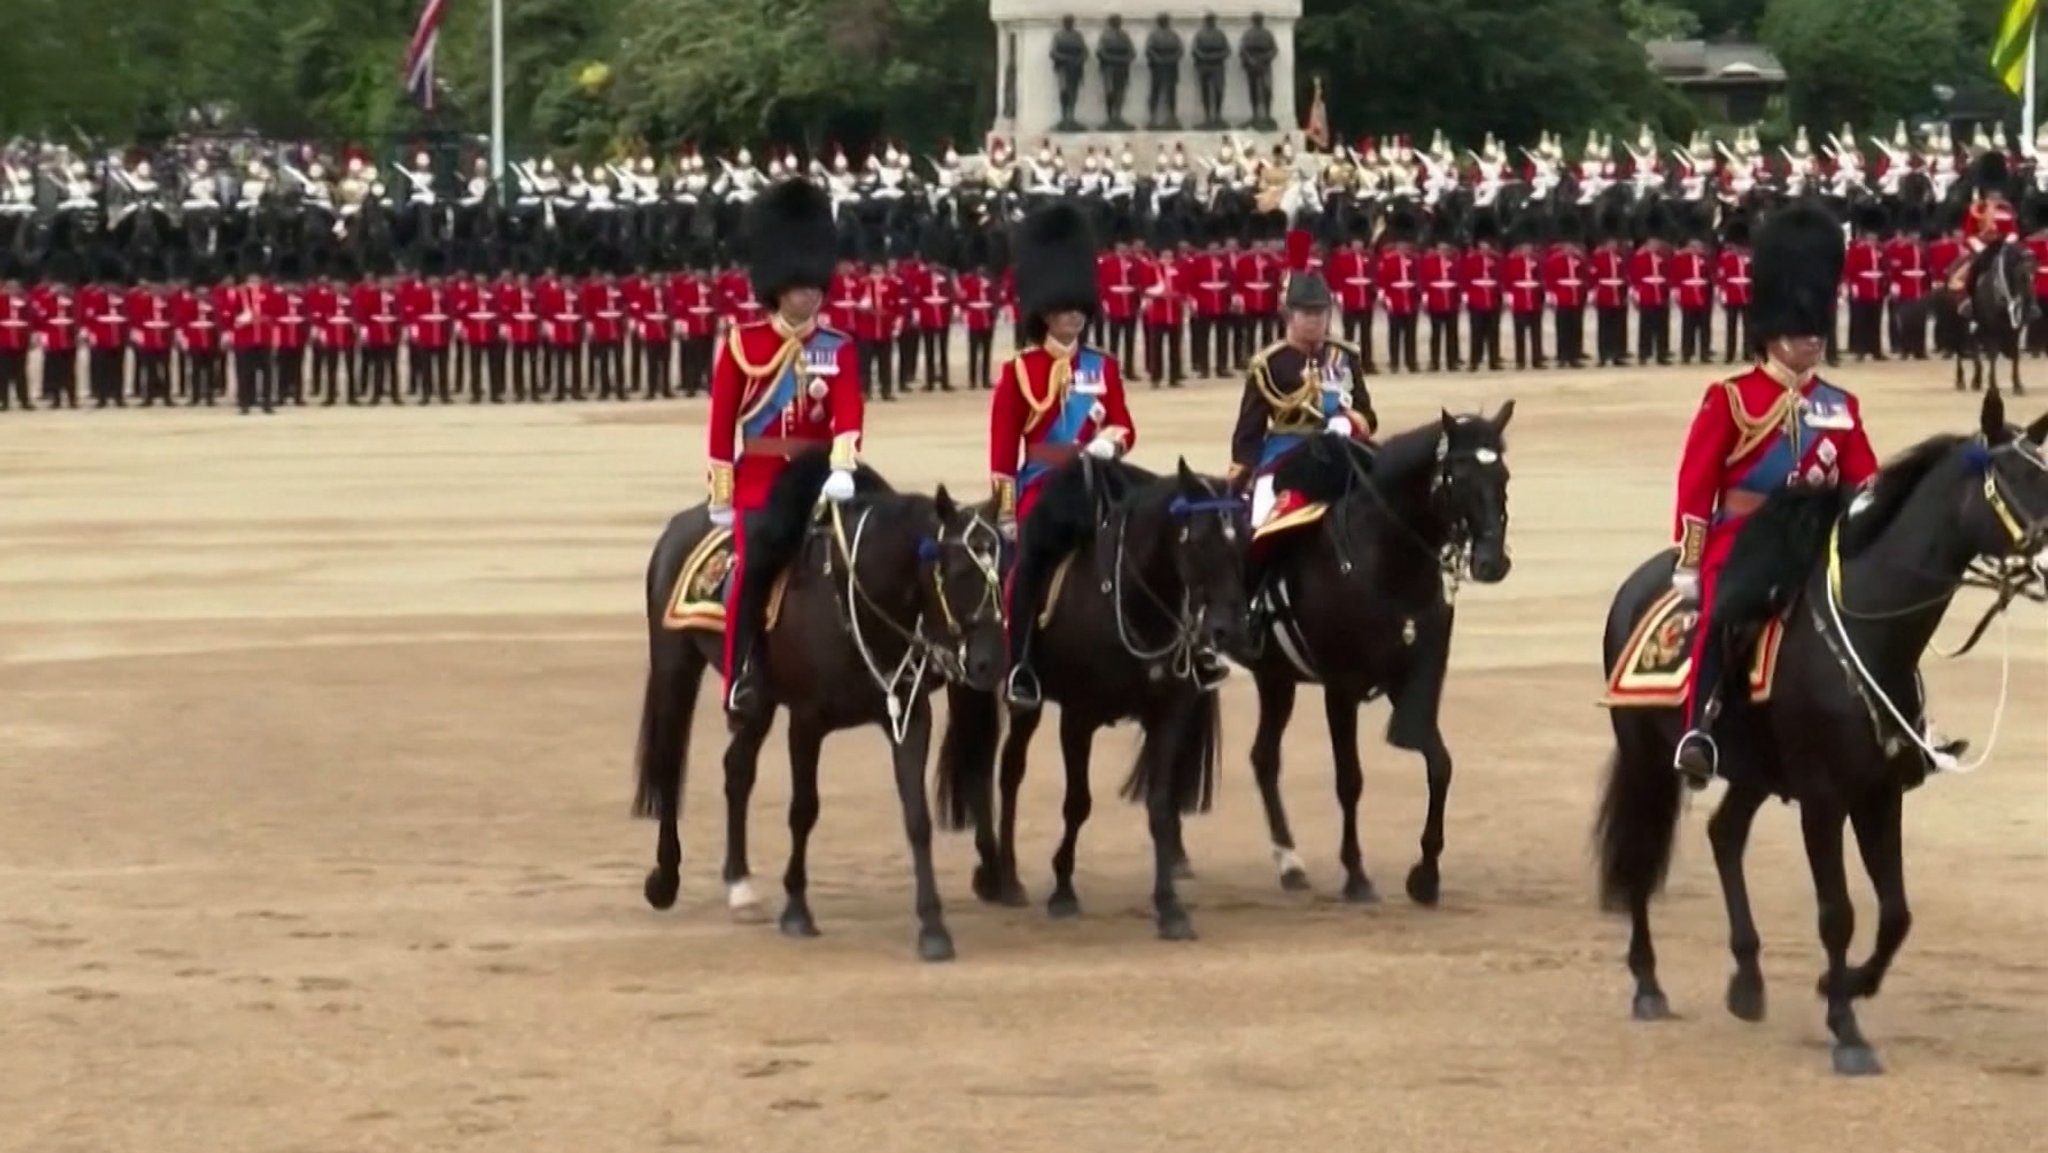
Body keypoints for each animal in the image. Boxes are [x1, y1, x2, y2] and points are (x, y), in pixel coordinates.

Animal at [626, 452, 1003, 966]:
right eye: (961, 572)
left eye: (1002, 572)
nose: (988, 663)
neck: (857, 597)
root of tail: (681, 523)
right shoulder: (807, 721)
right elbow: (803, 809)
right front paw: (797, 910)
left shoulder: (908, 716)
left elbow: (917, 818)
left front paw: (933, 927)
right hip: (675, 665)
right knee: (669, 764)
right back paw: (665, 880)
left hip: (760, 699)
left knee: (737, 770)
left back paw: (740, 886)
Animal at [933, 456, 1245, 942]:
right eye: (1199, 539)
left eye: (1242, 539)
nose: (1226, 630)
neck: (1130, 602)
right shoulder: (1078, 719)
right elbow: (1077, 802)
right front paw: (1063, 890)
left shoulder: (1167, 715)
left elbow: (1160, 805)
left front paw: (1170, 907)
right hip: (983, 690)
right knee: (984, 768)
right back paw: (998, 874)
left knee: (1007, 769)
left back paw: (1004, 874)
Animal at [1220, 409, 1515, 905]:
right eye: (1455, 478)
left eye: (1503, 476)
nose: (1492, 563)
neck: (1385, 561)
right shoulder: (1341, 688)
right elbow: (1350, 780)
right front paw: (1356, 874)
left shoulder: (1406, 681)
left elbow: (1440, 765)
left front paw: (1426, 874)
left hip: (1275, 677)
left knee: (1263, 758)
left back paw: (1289, 862)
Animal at [1597, 387, 2048, 1073]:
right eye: (2017, 480)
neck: (1873, 630)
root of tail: (1636, 585)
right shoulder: (1823, 798)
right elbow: (1837, 913)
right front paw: (1846, 1029)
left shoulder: (1879, 793)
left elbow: (1895, 913)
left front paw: (1849, 985)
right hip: (1649, 756)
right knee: (1644, 850)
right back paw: (1648, 983)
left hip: (1755, 768)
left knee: (1725, 834)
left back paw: (1747, 980)